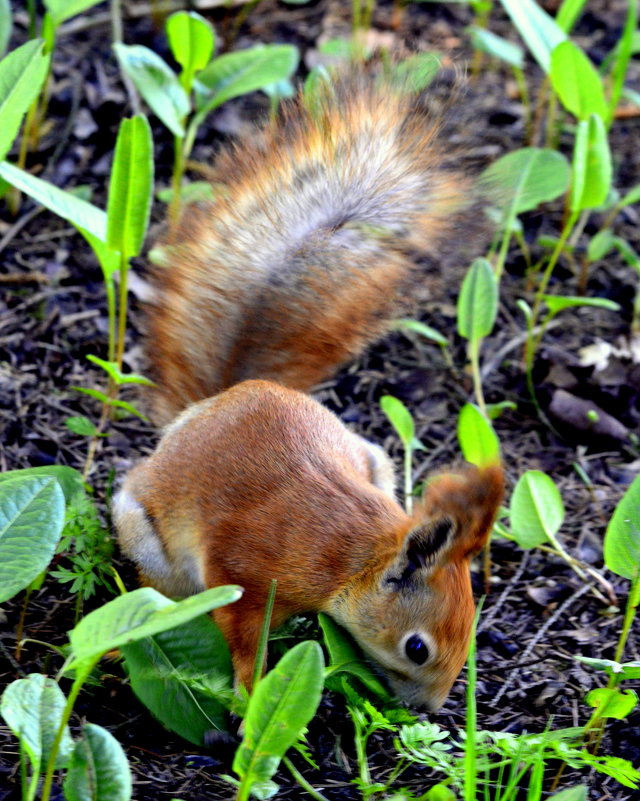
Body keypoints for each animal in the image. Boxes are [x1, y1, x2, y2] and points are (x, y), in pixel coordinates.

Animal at [115, 65, 504, 708]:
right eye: (416, 648)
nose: (428, 710)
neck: (350, 557)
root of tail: (222, 398)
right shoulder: (240, 571)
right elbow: (241, 636)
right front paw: (250, 698)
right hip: (151, 542)